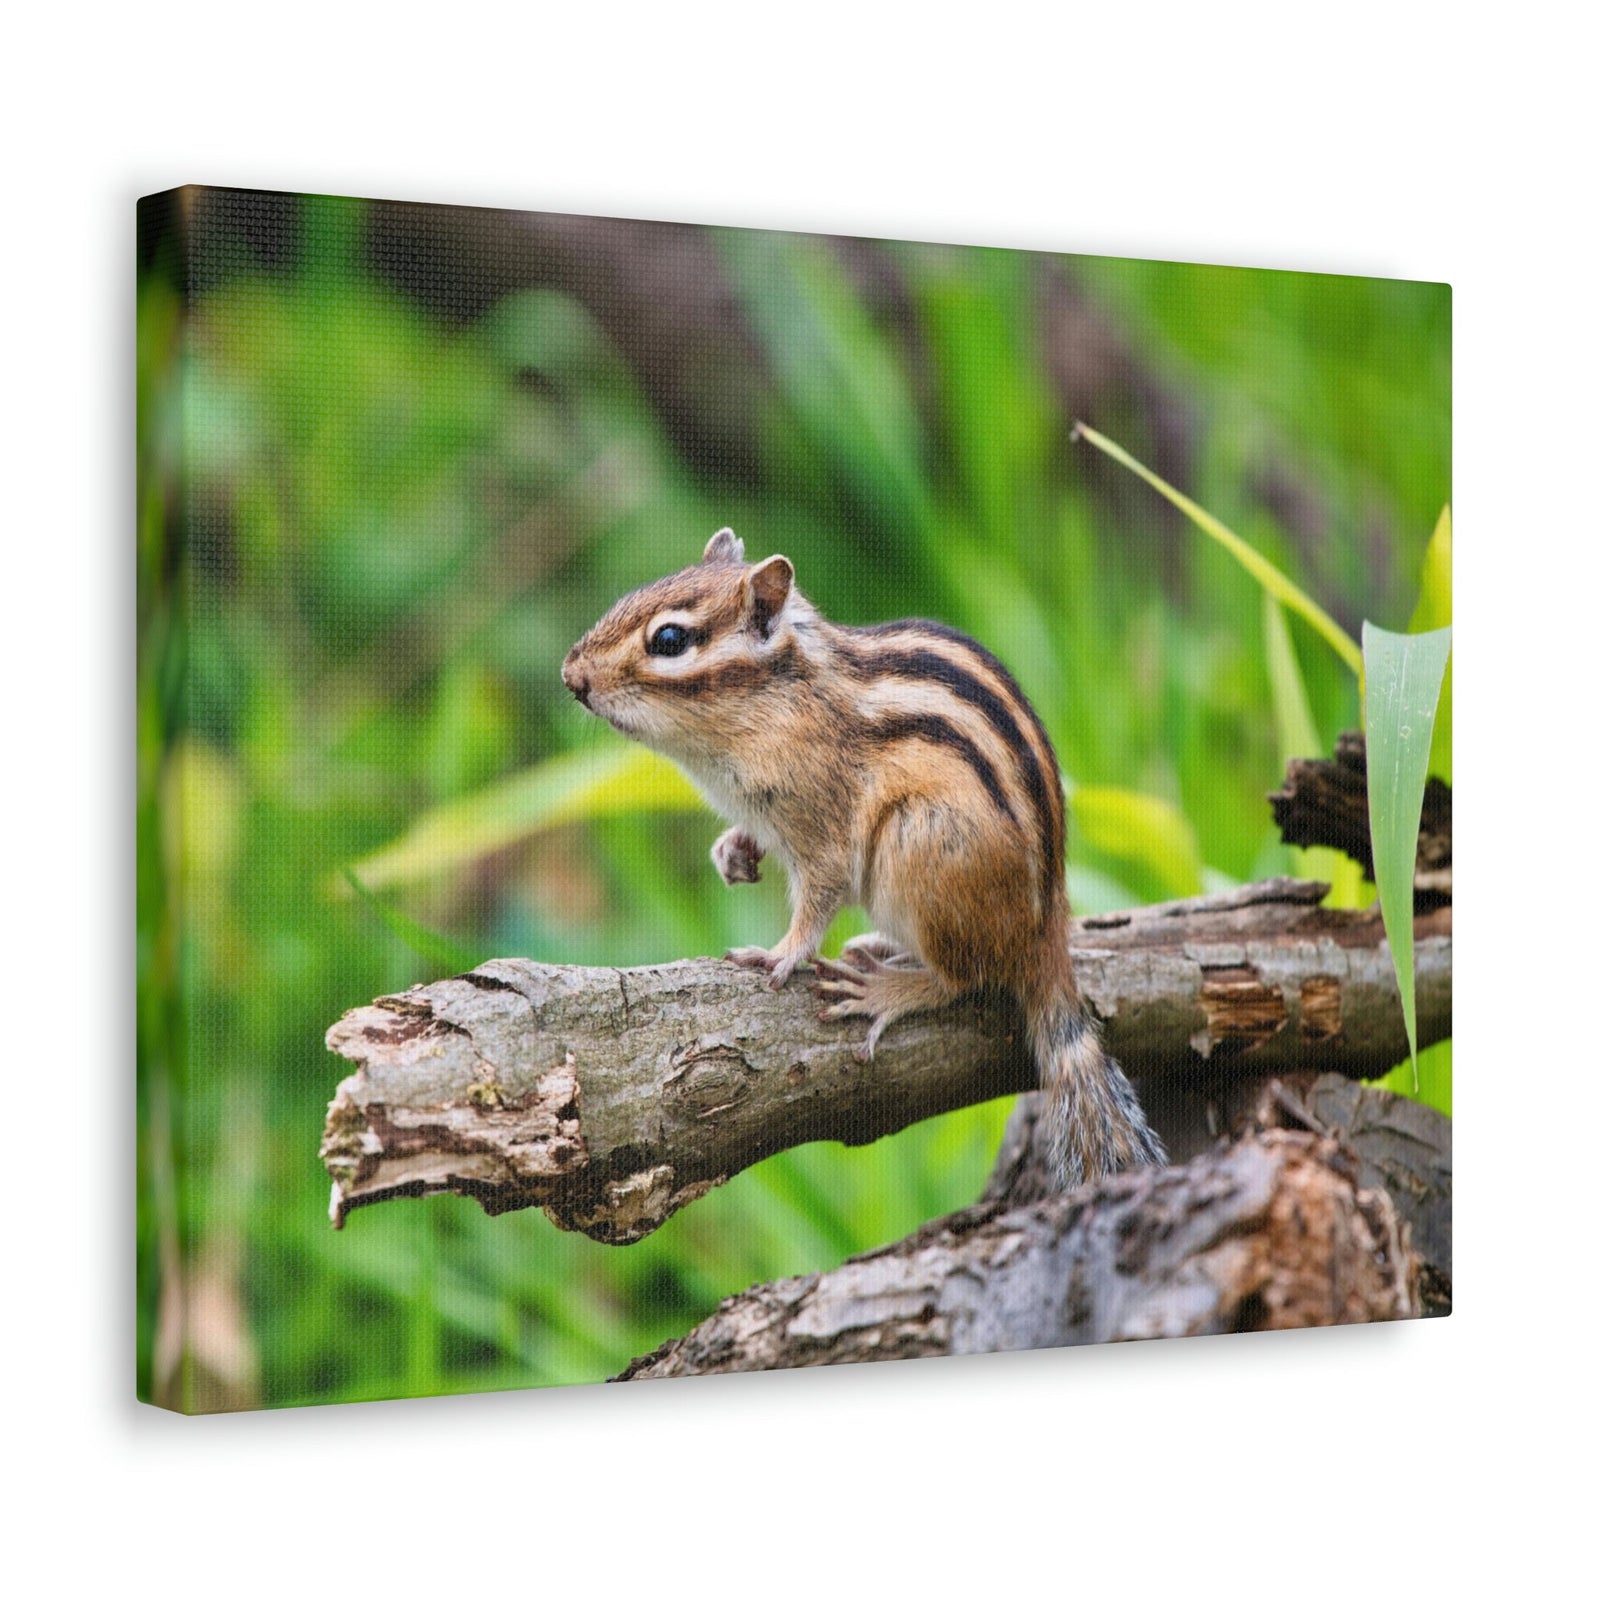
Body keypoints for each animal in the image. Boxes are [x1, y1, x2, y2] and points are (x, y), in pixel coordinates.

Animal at [562, 528, 1167, 1191]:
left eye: (668, 640)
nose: (571, 676)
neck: (777, 702)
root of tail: (1046, 933)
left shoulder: (824, 824)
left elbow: (819, 897)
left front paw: (781, 953)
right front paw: (733, 852)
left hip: (918, 843)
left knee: (964, 978)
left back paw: (887, 989)